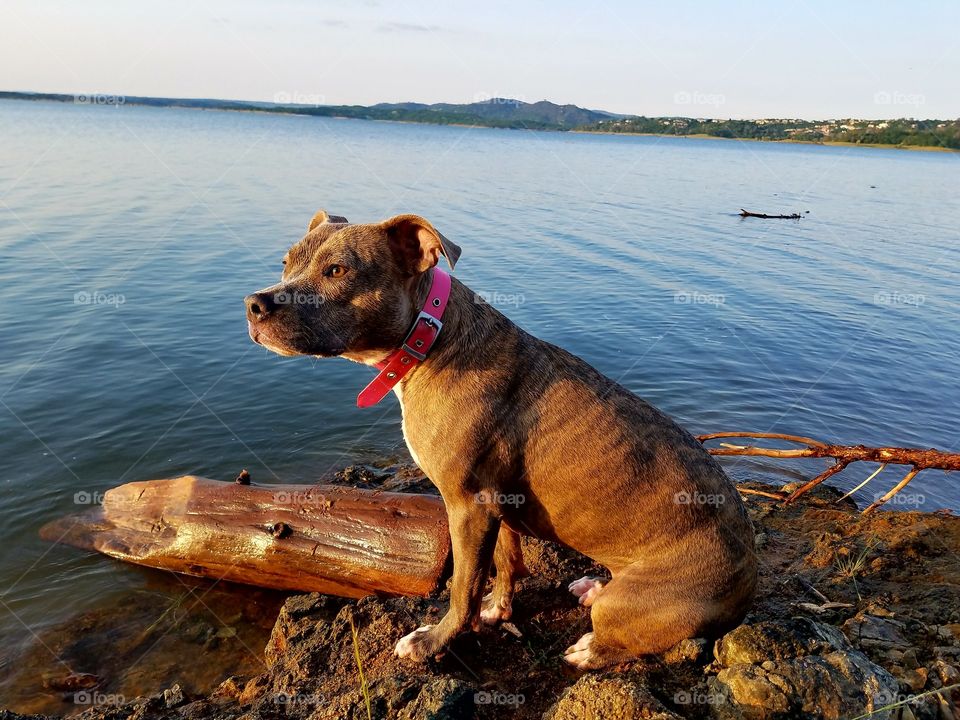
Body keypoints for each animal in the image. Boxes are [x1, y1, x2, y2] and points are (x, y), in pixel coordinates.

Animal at [246, 208, 756, 668]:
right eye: (286, 262)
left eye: (337, 271)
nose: (255, 303)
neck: (431, 339)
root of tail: (749, 580)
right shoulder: (498, 504)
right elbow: (506, 564)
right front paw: (497, 609)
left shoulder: (468, 506)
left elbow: (463, 584)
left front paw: (437, 640)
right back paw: (593, 586)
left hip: (638, 604)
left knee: (622, 640)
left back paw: (590, 648)